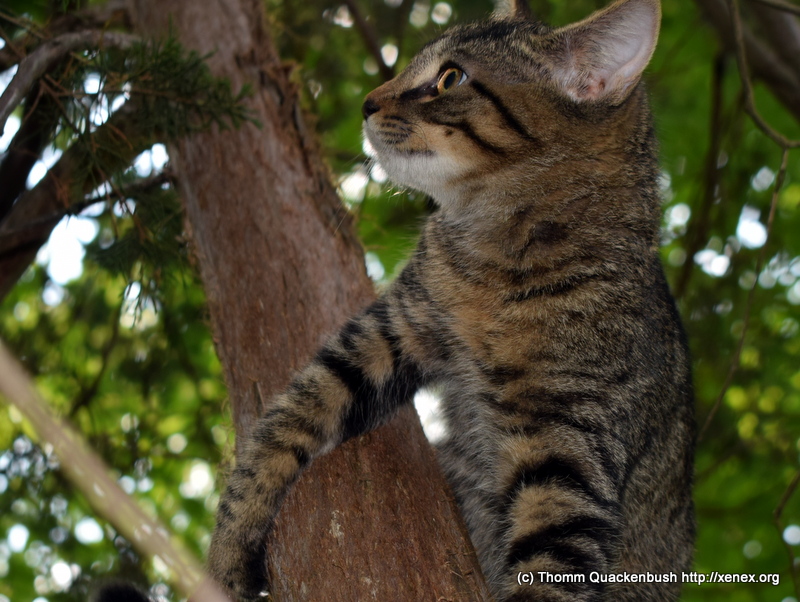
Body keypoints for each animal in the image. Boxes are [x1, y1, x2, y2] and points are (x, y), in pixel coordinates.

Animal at [206, 0, 692, 596]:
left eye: (449, 78)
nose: (368, 101)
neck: (502, 256)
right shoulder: (390, 329)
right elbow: (285, 421)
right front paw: (229, 547)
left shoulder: (569, 453)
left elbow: (549, 571)